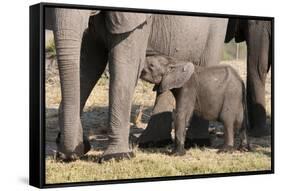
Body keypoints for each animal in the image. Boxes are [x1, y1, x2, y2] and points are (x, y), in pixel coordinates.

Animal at [47, 8, 228, 162]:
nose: (69, 152)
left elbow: (126, 67)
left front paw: (116, 157)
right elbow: (89, 65)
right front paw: (72, 152)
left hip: (216, 29)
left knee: (206, 64)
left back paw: (196, 142)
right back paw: (152, 143)